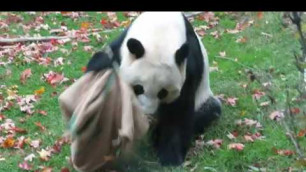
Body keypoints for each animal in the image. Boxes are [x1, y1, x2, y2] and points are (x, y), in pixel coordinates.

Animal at [86, 12, 222, 167]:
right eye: (138, 88)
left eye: (163, 92)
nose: (148, 113)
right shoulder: (119, 50)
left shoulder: (188, 66)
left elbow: (178, 111)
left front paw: (170, 158)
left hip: (204, 99)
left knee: (209, 111)